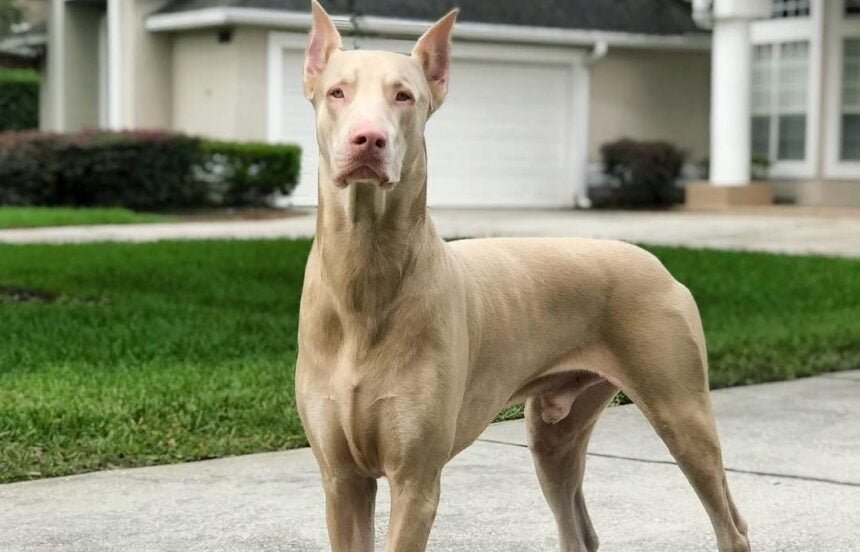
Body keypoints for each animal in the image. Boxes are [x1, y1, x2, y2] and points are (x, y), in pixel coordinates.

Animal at [294, 2, 744, 548]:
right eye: (337, 92)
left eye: (404, 96)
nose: (369, 140)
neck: (365, 274)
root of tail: (656, 262)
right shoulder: (341, 481)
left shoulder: (416, 481)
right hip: (554, 431)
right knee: (579, 528)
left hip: (681, 410)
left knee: (730, 524)